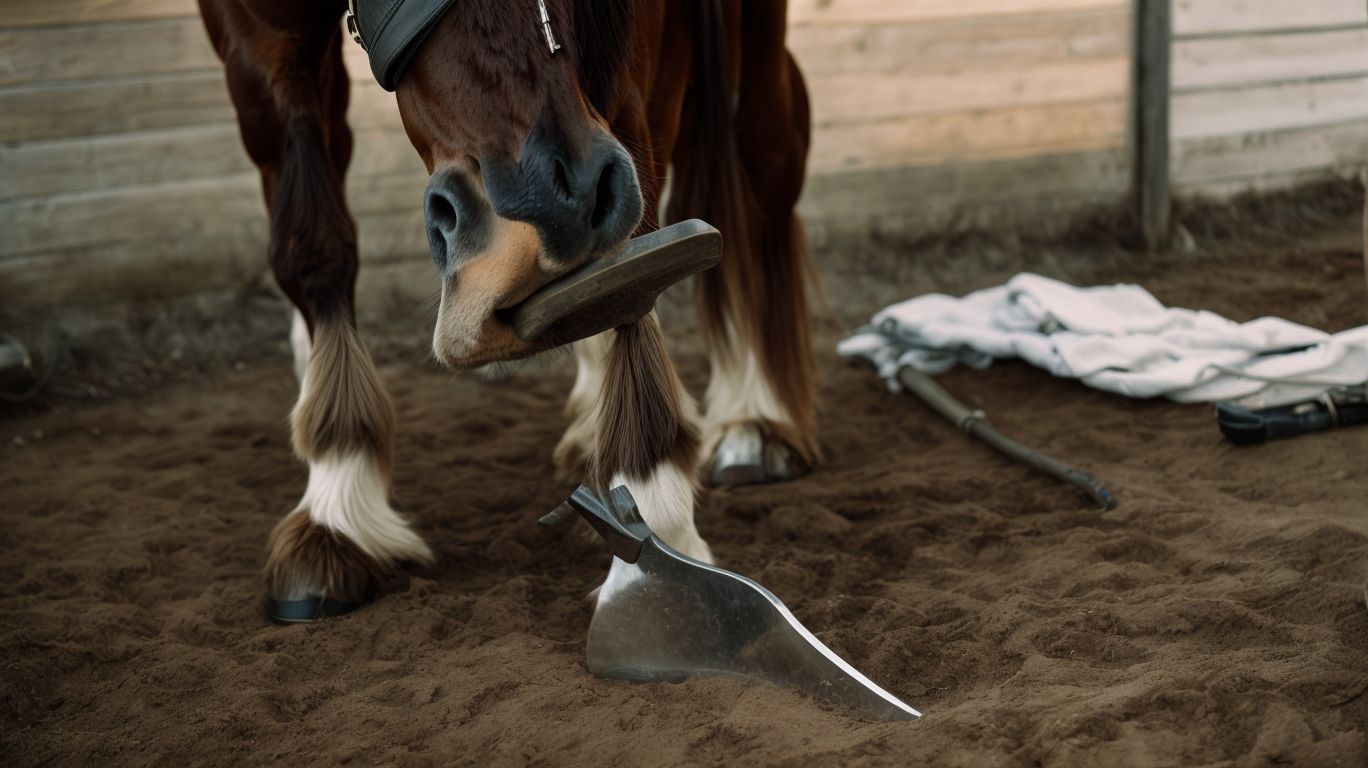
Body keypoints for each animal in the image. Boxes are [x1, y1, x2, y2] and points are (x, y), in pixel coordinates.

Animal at [195, 0, 816, 620]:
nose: (560, 200)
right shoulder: (255, 29)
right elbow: (313, 245)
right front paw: (336, 493)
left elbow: (636, 254)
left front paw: (654, 504)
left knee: (755, 170)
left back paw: (752, 420)